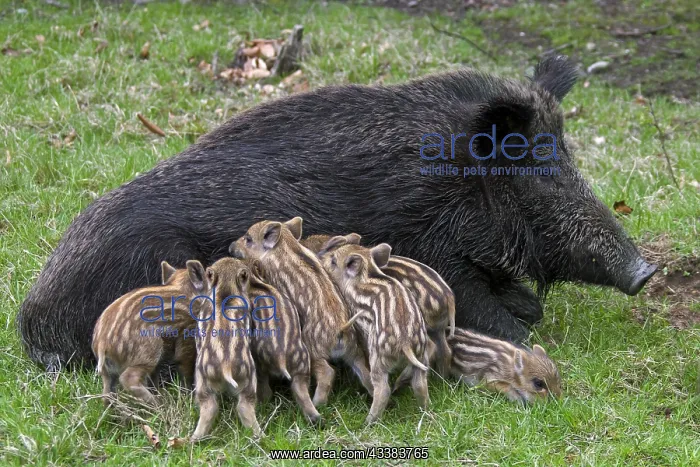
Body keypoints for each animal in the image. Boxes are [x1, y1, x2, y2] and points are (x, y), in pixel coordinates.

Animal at [18, 55, 657, 370]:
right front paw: (528, 343)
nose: (645, 270)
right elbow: (489, 312)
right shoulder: (433, 250)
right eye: (541, 171)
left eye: (568, 155)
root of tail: (32, 317)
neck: (454, 181)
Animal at [92, 261, 198, 405]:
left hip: (108, 370)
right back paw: (158, 404)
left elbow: (154, 376)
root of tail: (102, 343)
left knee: (107, 394)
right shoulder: (188, 335)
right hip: (147, 350)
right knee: (129, 378)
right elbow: (185, 367)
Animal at [230, 217, 373, 406]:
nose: (230, 246)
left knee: (328, 372)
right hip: (353, 351)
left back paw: (317, 403)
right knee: (365, 372)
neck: (284, 244)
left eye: (248, 239)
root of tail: (341, 329)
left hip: (314, 349)